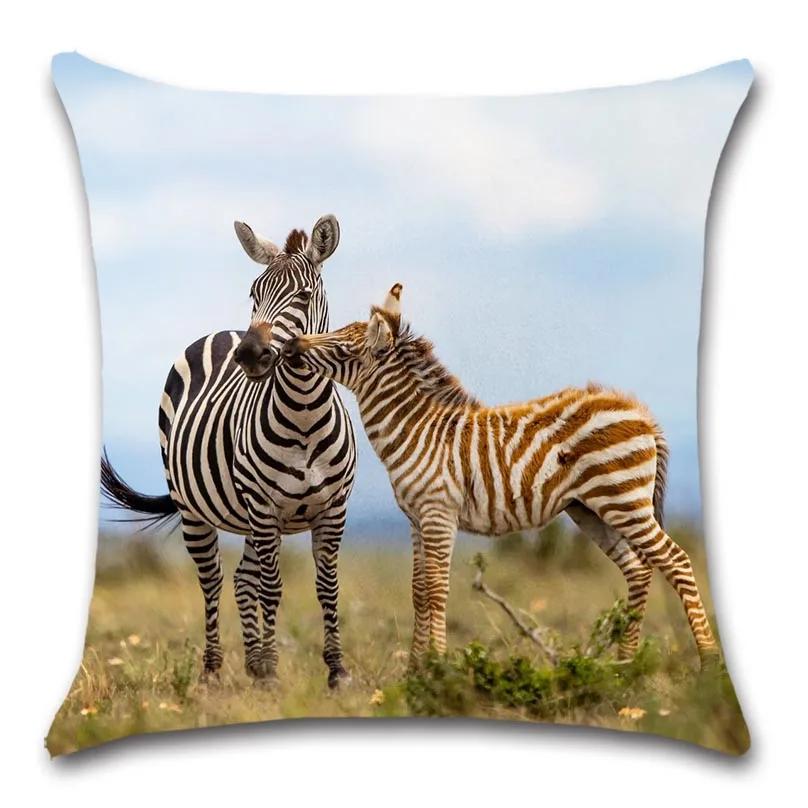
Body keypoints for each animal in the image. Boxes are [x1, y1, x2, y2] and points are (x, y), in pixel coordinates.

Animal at [101, 216, 357, 688]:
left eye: (303, 295)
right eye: (254, 293)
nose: (250, 354)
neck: (304, 413)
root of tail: (222, 333)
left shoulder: (333, 509)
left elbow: (328, 587)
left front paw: (336, 671)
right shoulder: (264, 506)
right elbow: (272, 588)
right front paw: (273, 671)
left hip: (252, 519)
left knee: (241, 578)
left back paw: (252, 664)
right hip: (197, 511)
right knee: (214, 580)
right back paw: (213, 672)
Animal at [281, 283, 719, 668]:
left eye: (341, 346)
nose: (289, 346)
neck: (416, 427)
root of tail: (641, 412)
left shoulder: (438, 512)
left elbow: (437, 590)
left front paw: (437, 668)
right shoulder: (416, 518)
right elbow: (418, 591)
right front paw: (415, 671)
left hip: (624, 500)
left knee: (677, 562)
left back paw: (708, 664)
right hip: (592, 509)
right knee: (639, 569)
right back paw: (625, 665)